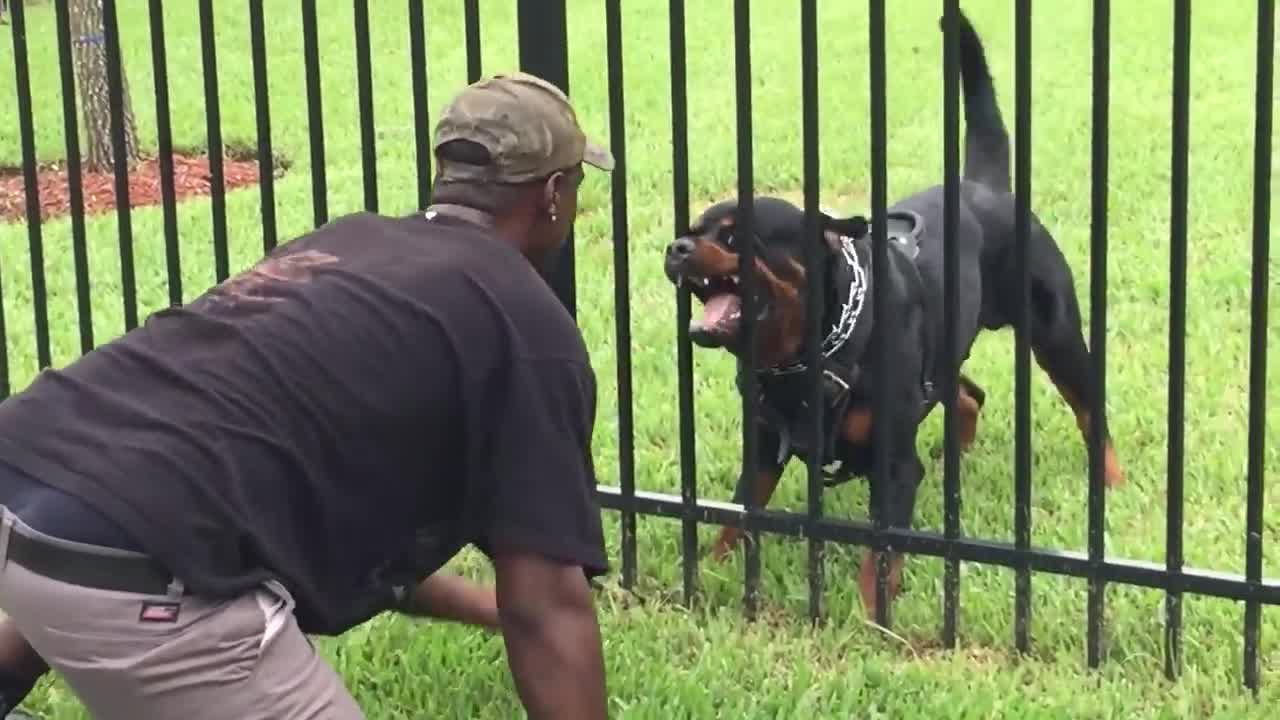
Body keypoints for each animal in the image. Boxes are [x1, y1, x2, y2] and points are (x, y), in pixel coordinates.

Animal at [665, 9, 1126, 617]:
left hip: (1057, 334)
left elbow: (880, 556)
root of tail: (981, 185)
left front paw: (870, 618)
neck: (812, 351)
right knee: (969, 394)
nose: (676, 248)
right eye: (693, 230)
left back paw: (1112, 479)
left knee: (1090, 409)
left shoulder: (895, 466)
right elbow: (739, 512)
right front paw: (711, 571)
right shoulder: (765, 445)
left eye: (736, 236)